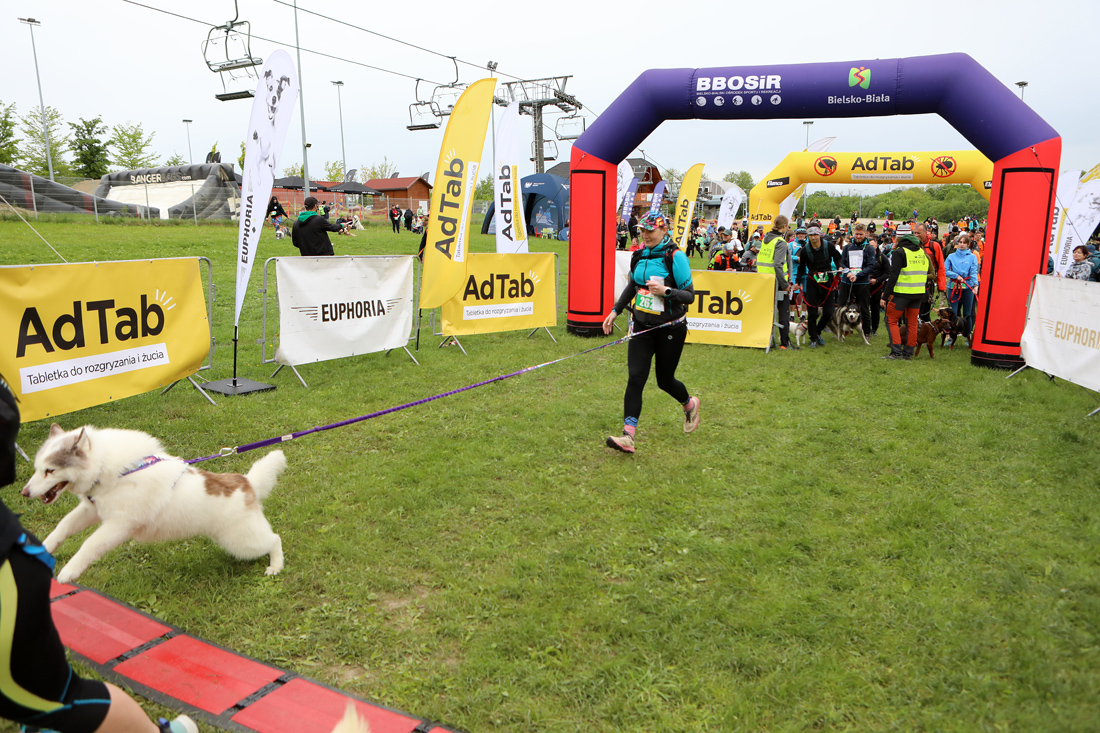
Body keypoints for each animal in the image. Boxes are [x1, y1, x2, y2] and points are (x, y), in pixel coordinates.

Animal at [21, 424, 286, 584]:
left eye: (50, 470)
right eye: (37, 468)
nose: (24, 493)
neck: (111, 470)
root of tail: (247, 483)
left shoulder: (118, 525)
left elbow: (88, 545)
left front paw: (67, 573)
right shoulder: (91, 510)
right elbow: (62, 527)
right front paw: (42, 549)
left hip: (242, 542)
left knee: (274, 539)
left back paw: (275, 567)